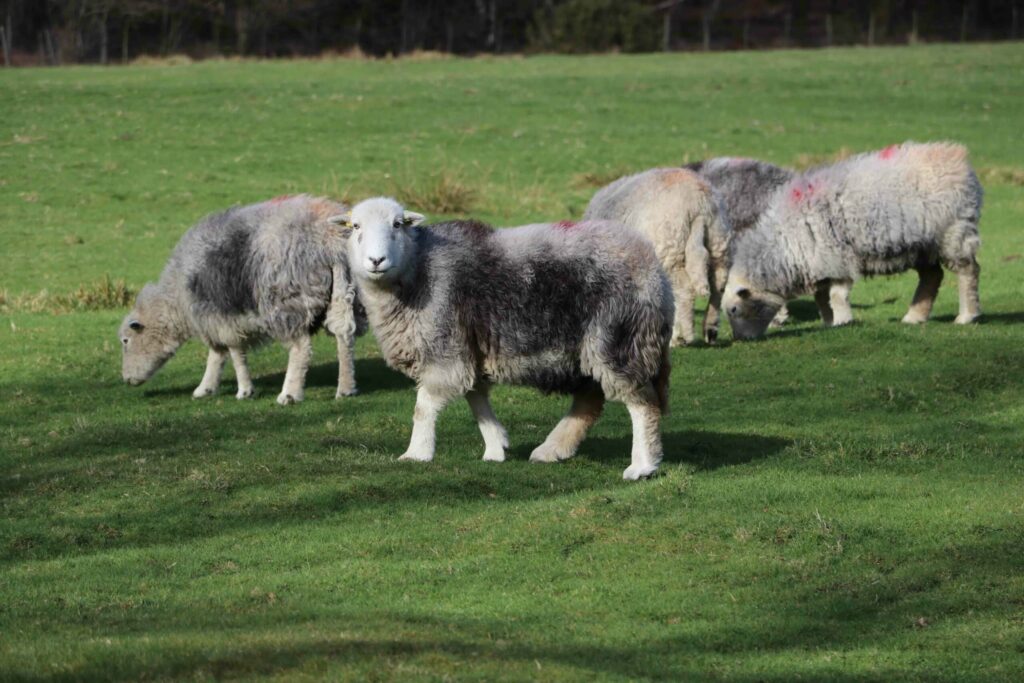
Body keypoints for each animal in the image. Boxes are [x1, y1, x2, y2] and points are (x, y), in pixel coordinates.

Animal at [119, 195, 367, 404]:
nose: (127, 380)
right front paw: (205, 388)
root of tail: (329, 241)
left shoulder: (220, 317)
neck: (177, 301)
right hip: (347, 293)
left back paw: (289, 394)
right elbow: (217, 355)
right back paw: (346, 388)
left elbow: (234, 353)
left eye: (126, 341)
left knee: (301, 347)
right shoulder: (216, 320)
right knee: (344, 336)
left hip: (287, 302)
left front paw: (244, 390)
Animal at [332, 198, 673, 480]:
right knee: (590, 399)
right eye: (355, 226)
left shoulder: (444, 346)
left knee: (642, 403)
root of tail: (653, 268)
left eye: (398, 224)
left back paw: (642, 466)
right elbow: (476, 400)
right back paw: (552, 449)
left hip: (618, 338)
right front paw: (497, 447)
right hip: (591, 347)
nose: (376, 260)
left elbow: (424, 406)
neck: (419, 269)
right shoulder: (469, 349)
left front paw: (417, 453)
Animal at [584, 168, 728, 345]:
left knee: (684, 291)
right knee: (718, 285)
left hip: (670, 250)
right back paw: (710, 331)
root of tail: (698, 204)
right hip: (718, 242)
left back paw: (680, 336)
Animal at [723, 142, 983, 340]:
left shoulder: (838, 257)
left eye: (735, 309)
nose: (739, 339)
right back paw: (914, 317)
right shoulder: (821, 264)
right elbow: (821, 299)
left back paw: (966, 316)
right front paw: (829, 323)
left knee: (968, 271)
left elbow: (836, 296)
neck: (785, 247)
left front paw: (842, 321)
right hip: (922, 245)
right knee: (932, 276)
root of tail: (958, 159)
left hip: (953, 232)